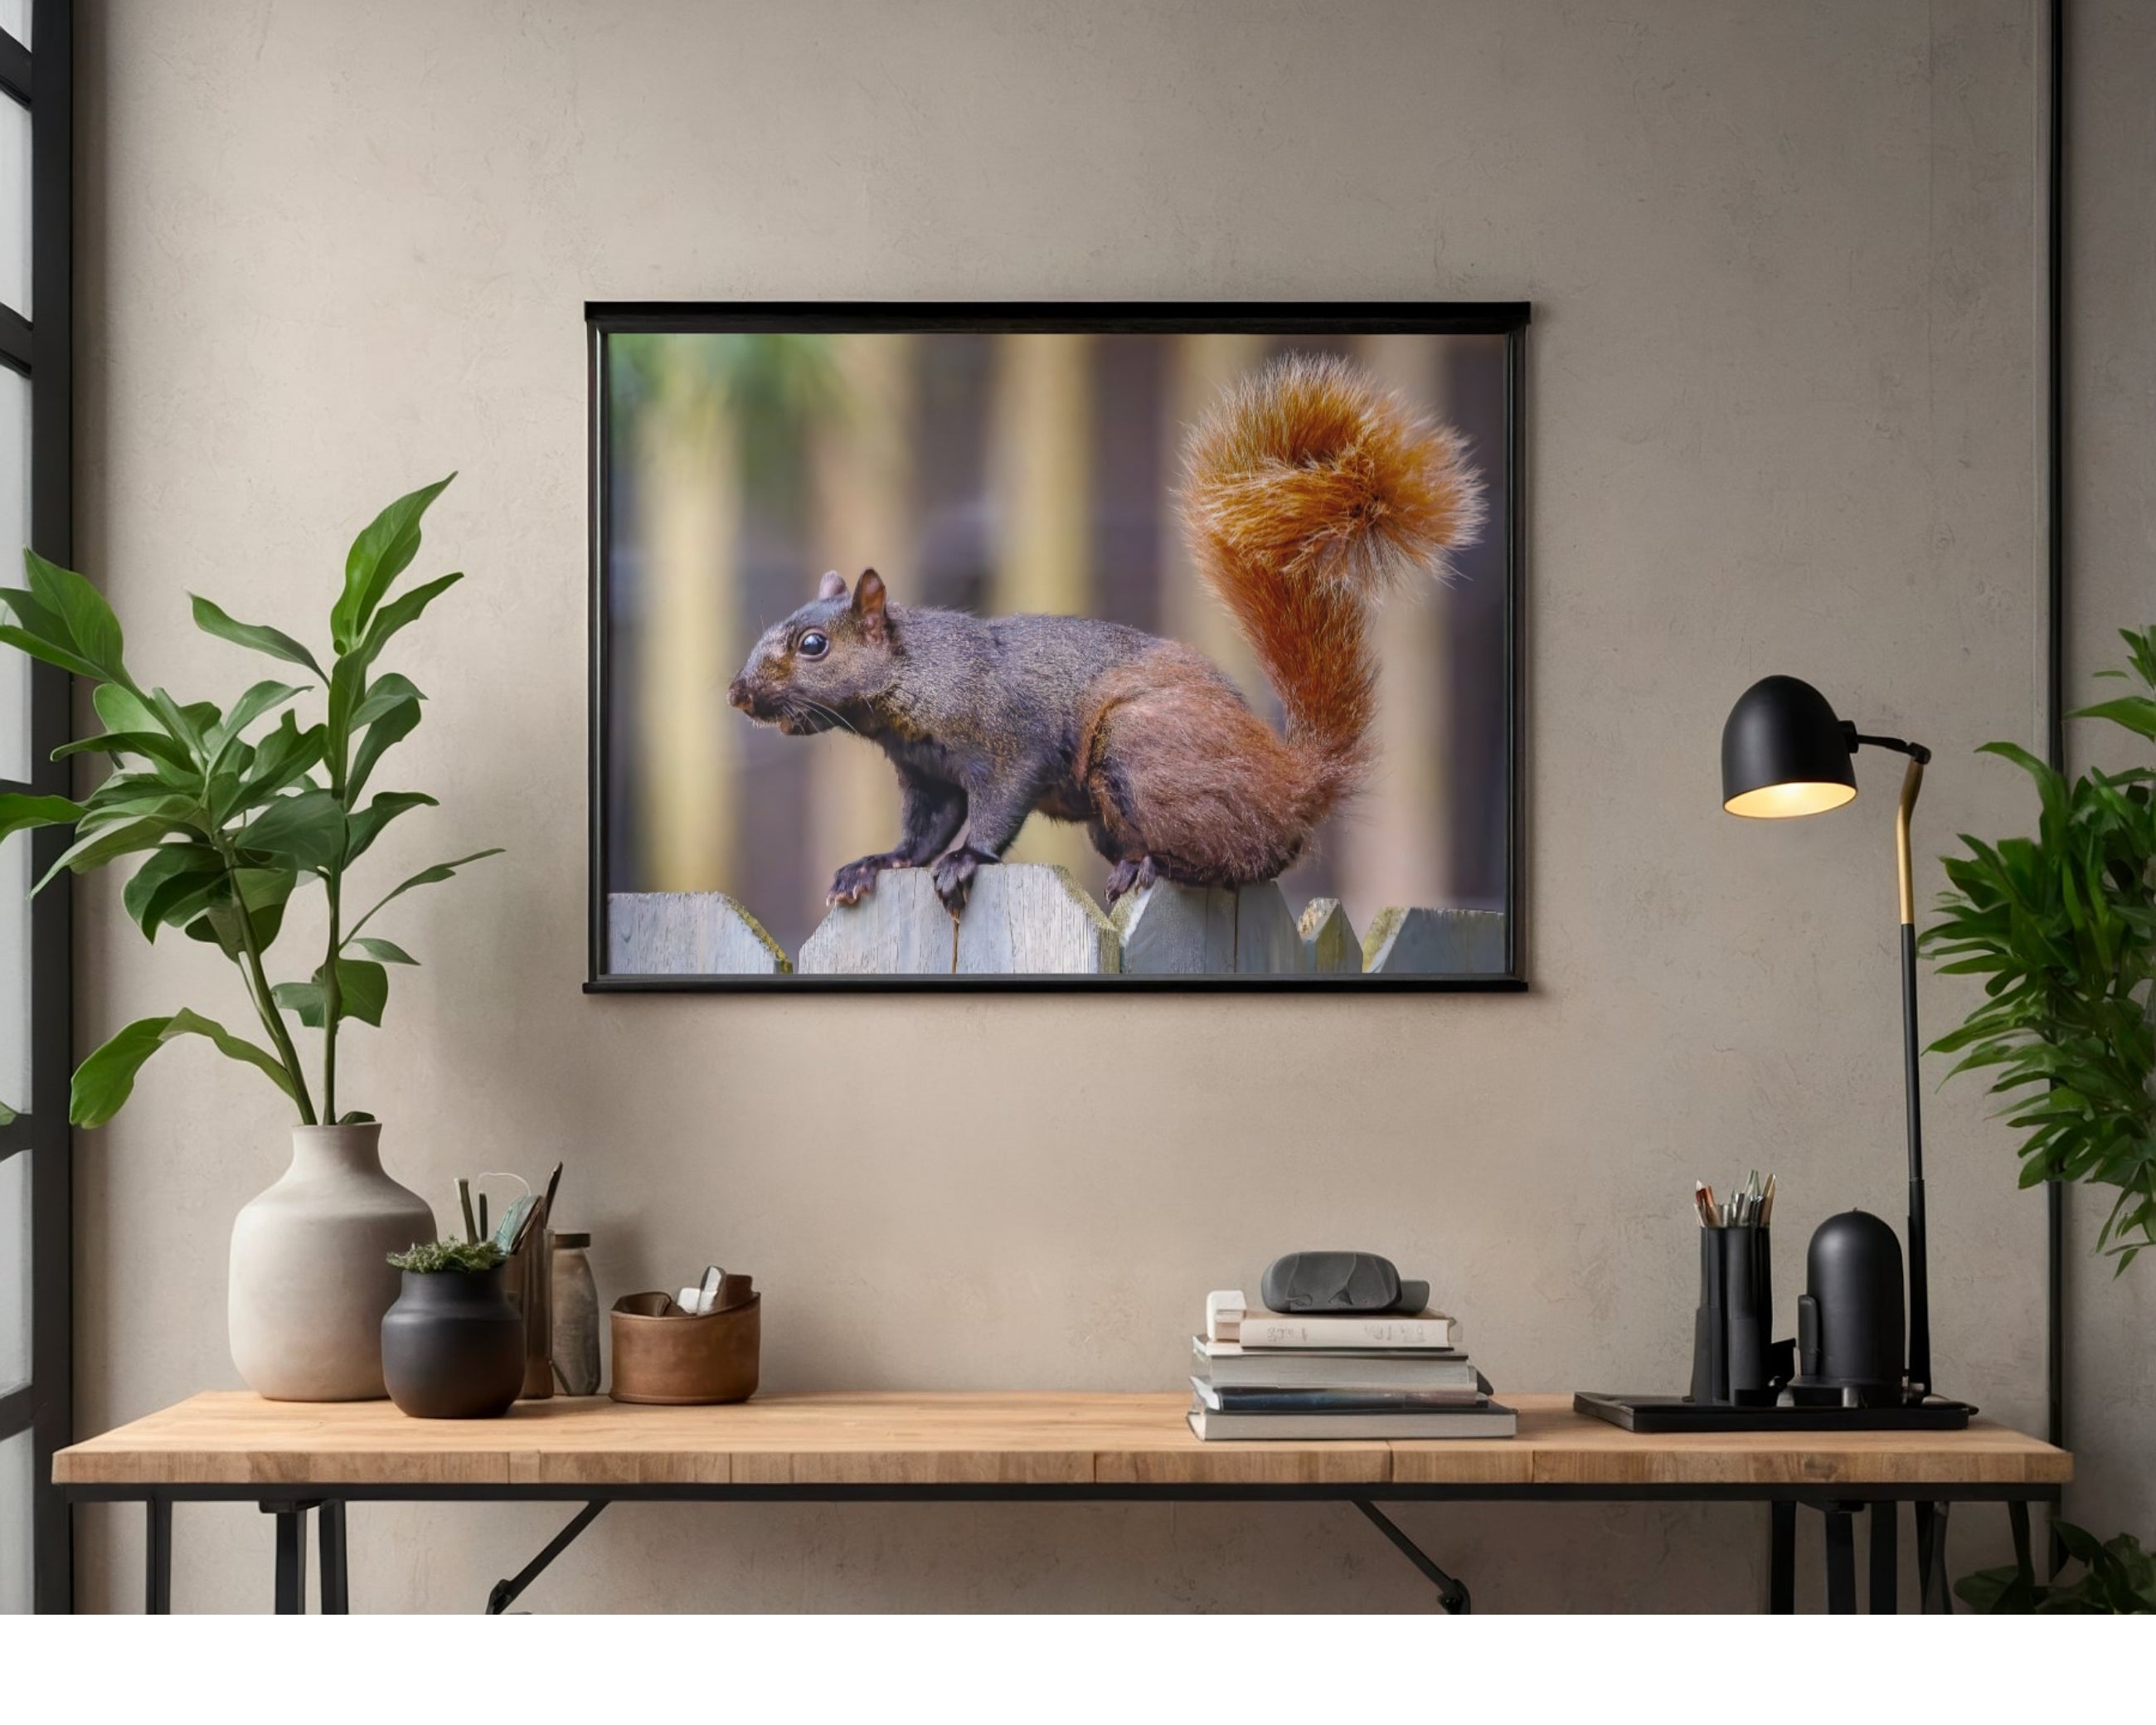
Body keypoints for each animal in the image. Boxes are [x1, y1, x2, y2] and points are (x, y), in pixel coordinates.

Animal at [727, 353, 1484, 915]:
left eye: (814, 645)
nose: (737, 694)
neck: (919, 677)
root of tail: (1292, 782)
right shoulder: (926, 776)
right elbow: (923, 833)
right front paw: (875, 864)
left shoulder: (1008, 741)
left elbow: (994, 811)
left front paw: (964, 862)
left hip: (1139, 747)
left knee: (1240, 860)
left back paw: (1150, 866)